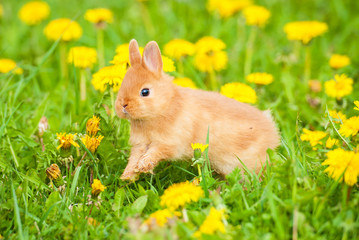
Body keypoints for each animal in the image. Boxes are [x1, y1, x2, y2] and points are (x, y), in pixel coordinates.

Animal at [116, 39, 282, 181]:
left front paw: (143, 166)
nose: (122, 105)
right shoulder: (140, 145)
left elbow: (155, 152)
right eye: (122, 85)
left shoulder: (168, 143)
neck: (166, 105)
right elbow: (134, 157)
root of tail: (273, 135)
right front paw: (127, 175)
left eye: (145, 92)